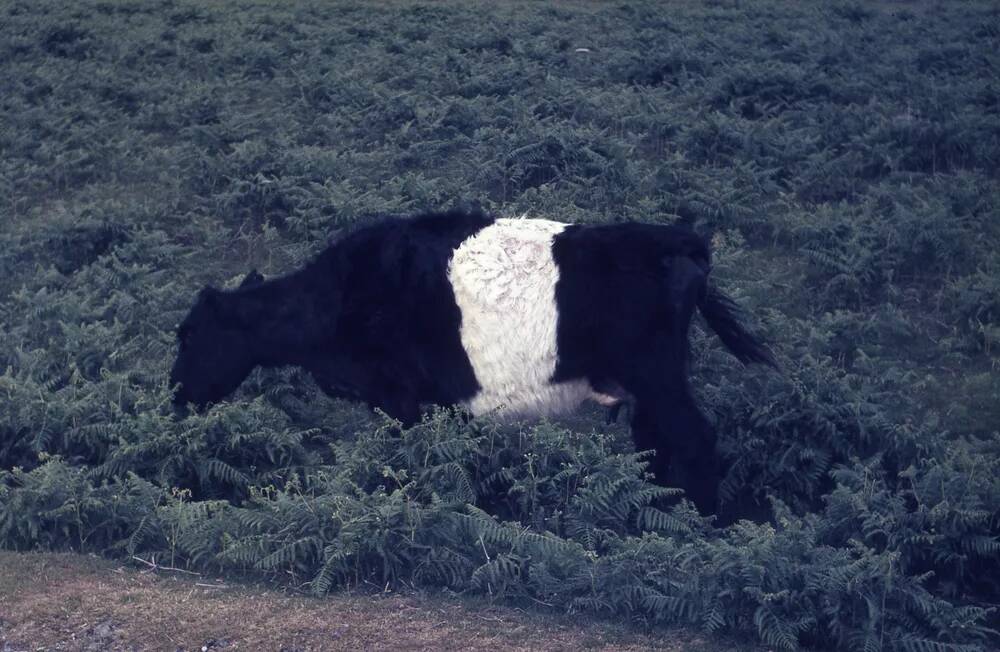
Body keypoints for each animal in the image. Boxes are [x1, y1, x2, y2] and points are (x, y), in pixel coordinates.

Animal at [172, 211, 772, 512]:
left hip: (658, 375)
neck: (344, 294)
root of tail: (681, 241)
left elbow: (406, 460)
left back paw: (697, 523)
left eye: (188, 334)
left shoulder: (397, 396)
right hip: (647, 386)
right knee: (656, 446)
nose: (175, 394)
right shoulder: (442, 401)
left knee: (694, 440)